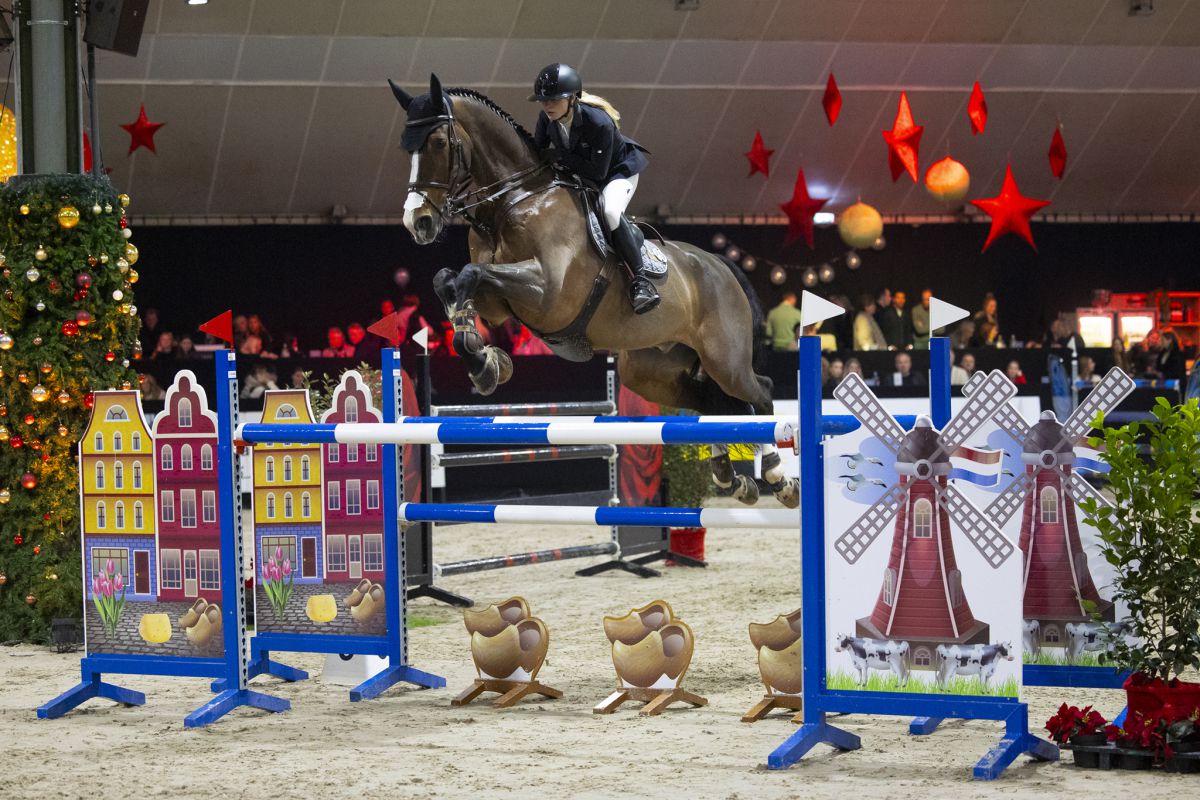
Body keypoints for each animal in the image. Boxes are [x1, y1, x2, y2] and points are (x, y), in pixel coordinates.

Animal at [388, 73, 792, 506]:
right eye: (406, 146)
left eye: (438, 142)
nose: (418, 223)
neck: (513, 201)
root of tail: (720, 265)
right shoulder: (499, 304)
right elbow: (451, 278)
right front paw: (486, 361)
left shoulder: (547, 294)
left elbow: (470, 273)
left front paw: (485, 363)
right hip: (650, 369)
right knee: (711, 401)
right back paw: (730, 477)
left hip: (724, 359)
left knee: (759, 392)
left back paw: (779, 477)